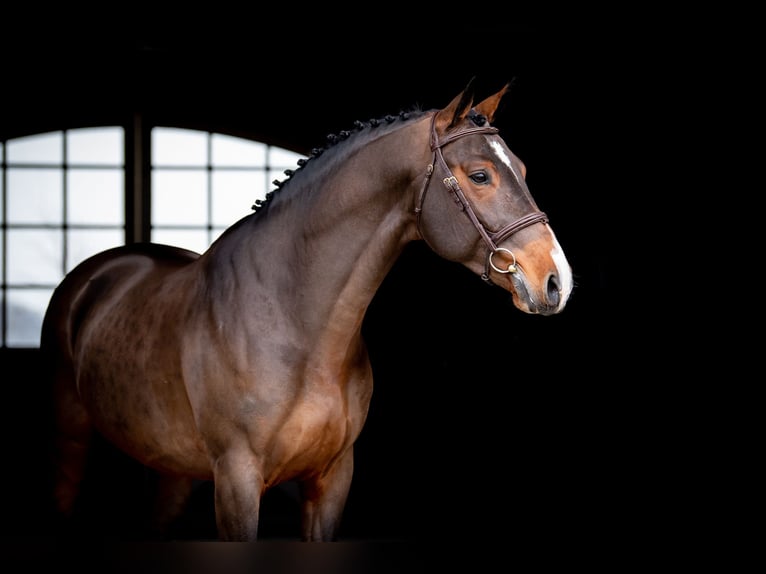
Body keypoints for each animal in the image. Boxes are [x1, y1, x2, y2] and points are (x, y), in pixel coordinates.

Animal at [40, 82, 568, 544]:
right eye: (480, 175)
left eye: (522, 169)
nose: (555, 280)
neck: (295, 324)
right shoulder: (237, 481)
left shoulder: (331, 480)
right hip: (71, 442)